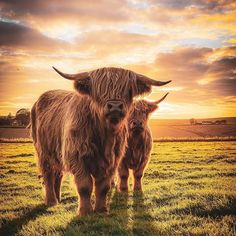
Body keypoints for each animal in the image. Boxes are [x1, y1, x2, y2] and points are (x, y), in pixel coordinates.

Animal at [31, 66, 171, 216]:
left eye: (128, 89)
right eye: (99, 89)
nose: (115, 106)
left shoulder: (115, 159)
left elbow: (105, 186)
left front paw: (101, 210)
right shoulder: (77, 157)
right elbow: (85, 186)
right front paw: (85, 212)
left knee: (58, 174)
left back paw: (58, 198)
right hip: (43, 153)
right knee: (48, 174)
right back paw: (51, 201)